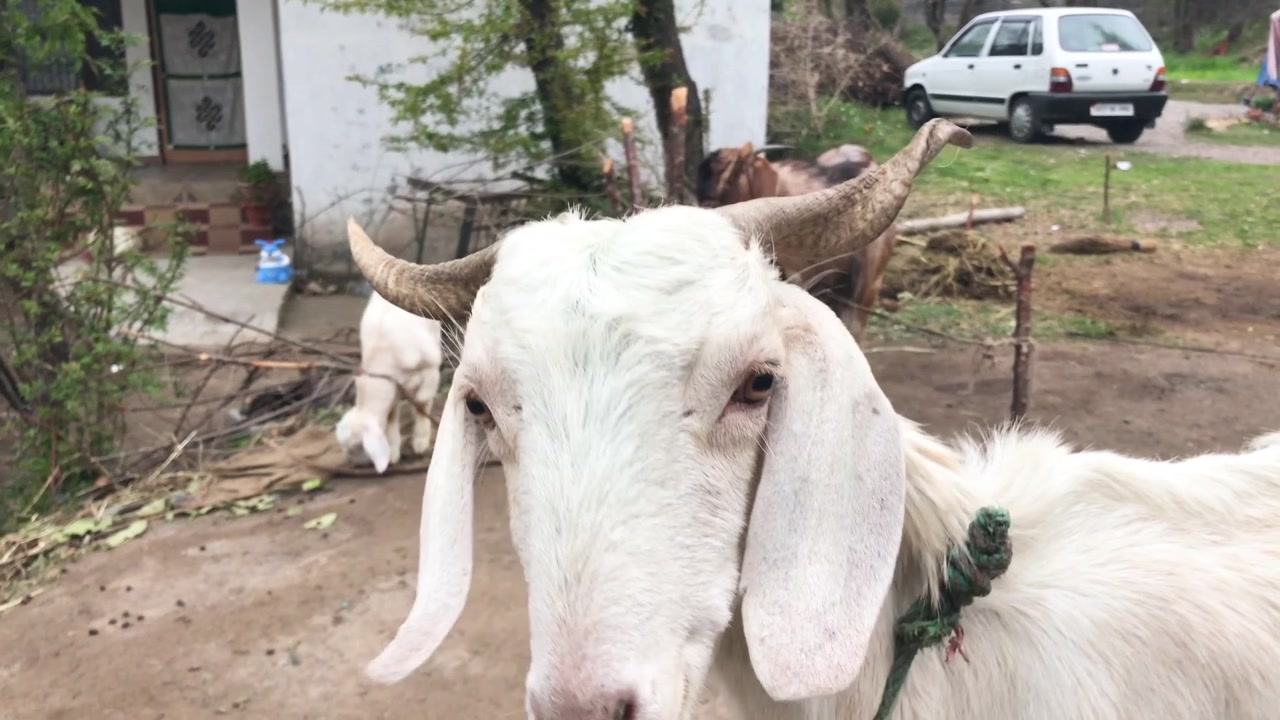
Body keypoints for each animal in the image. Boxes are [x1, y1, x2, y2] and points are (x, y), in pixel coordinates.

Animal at [333, 290, 444, 473]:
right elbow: (392, 416)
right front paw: (393, 452)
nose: (352, 464)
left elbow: (421, 403)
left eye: (356, 447)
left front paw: (420, 441)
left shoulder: (431, 369)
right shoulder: (394, 387)